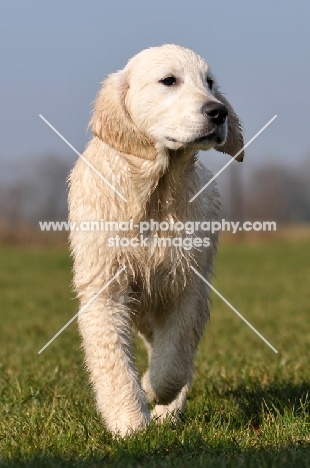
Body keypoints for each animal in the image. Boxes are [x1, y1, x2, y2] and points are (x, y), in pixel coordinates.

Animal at [68, 43, 245, 436]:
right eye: (169, 80)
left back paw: (167, 409)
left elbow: (174, 360)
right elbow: (114, 362)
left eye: (209, 82)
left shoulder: (188, 285)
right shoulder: (105, 287)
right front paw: (130, 424)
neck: (154, 192)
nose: (219, 111)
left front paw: (154, 389)